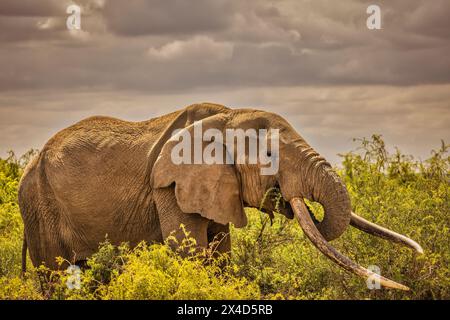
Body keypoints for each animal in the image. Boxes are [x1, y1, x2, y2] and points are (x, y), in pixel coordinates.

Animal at [17, 102, 424, 290]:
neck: (228, 114)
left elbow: (219, 253)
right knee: (54, 274)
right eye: (269, 156)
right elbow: (190, 253)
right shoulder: (169, 186)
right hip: (39, 205)